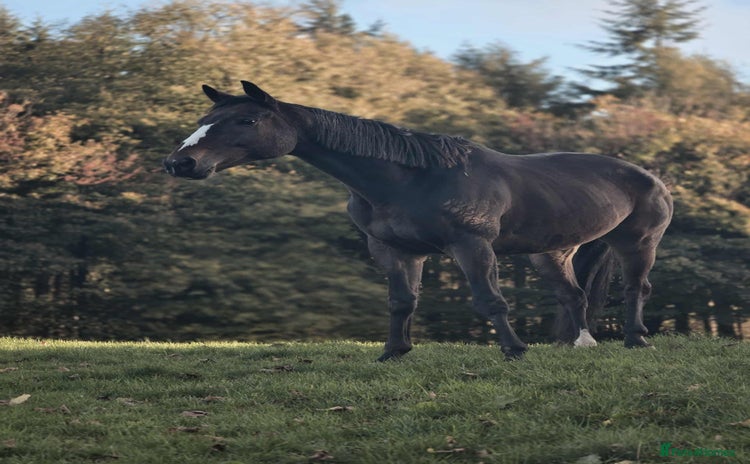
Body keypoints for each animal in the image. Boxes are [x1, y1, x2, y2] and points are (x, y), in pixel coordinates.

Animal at [164, 81, 673, 361]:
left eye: (247, 121)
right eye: (206, 117)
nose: (179, 163)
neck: (411, 178)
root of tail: (647, 174)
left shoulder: (472, 246)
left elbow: (490, 301)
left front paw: (514, 351)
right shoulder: (394, 251)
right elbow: (401, 303)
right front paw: (394, 352)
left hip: (638, 244)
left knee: (637, 289)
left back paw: (637, 341)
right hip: (551, 254)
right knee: (574, 295)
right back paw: (577, 345)